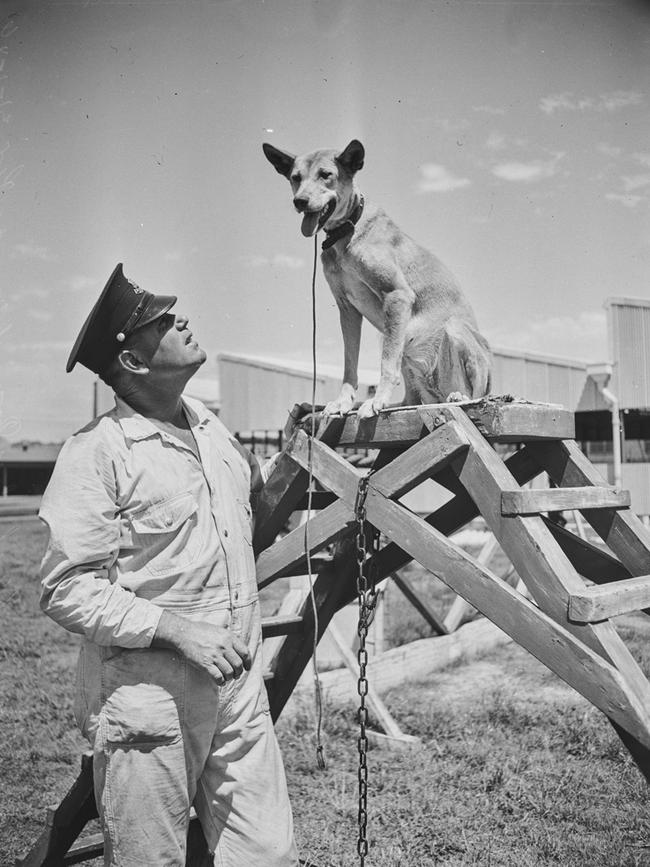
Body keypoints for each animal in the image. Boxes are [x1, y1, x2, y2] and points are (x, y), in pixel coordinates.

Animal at [260, 139, 488, 420]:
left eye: (326, 175)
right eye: (295, 177)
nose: (300, 201)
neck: (346, 233)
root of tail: (437, 395)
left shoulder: (397, 296)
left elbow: (386, 363)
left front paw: (376, 400)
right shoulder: (347, 309)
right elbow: (350, 363)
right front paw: (343, 402)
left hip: (450, 331)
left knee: (479, 393)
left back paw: (459, 397)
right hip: (401, 340)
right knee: (411, 398)